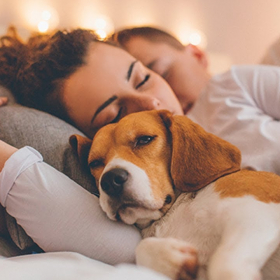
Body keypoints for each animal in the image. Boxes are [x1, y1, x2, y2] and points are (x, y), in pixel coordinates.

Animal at [70, 109, 280, 280]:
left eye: (144, 139)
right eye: (95, 163)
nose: (110, 181)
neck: (175, 211)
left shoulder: (255, 212)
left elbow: (223, 262)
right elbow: (141, 248)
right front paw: (173, 261)